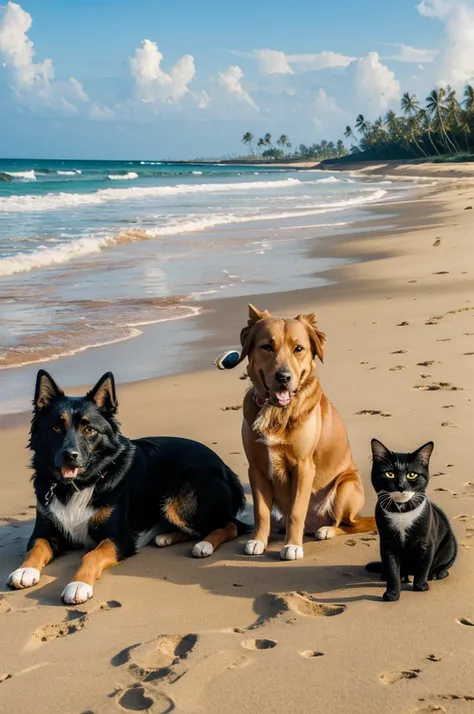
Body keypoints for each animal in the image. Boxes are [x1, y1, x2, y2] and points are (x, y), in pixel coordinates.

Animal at [8, 372, 248, 600]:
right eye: (56, 427)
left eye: (89, 430)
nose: (70, 455)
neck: (78, 486)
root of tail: (226, 469)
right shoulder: (45, 531)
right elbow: (36, 547)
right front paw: (25, 570)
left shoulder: (118, 538)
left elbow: (91, 555)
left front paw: (78, 585)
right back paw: (166, 536)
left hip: (182, 499)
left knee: (230, 525)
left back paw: (204, 545)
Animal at [226, 304, 374, 560]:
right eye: (267, 346)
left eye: (299, 349)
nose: (284, 377)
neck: (277, 411)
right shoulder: (257, 469)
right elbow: (260, 512)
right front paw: (258, 541)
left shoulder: (303, 466)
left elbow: (297, 511)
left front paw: (292, 546)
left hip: (346, 486)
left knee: (345, 524)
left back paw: (325, 530)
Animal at [368, 436, 458, 596]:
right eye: (389, 474)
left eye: (412, 474)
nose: (401, 486)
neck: (402, 512)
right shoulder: (387, 542)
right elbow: (392, 567)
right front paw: (392, 593)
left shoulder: (426, 540)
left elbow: (423, 564)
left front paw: (421, 586)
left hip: (450, 545)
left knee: (443, 565)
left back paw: (436, 574)